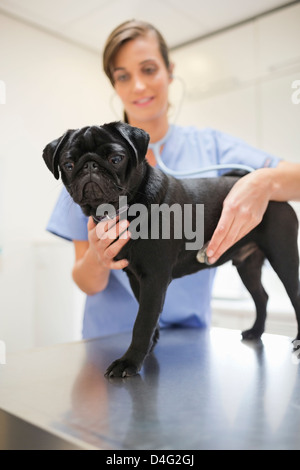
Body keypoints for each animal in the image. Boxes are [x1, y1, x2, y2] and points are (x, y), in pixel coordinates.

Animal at [42, 122, 300, 378]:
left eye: (116, 159)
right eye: (68, 164)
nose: (90, 165)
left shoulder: (154, 278)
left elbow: (142, 321)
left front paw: (129, 361)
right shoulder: (137, 278)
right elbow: (148, 316)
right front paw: (150, 344)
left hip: (283, 256)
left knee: (292, 294)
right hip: (247, 265)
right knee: (261, 296)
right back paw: (256, 331)